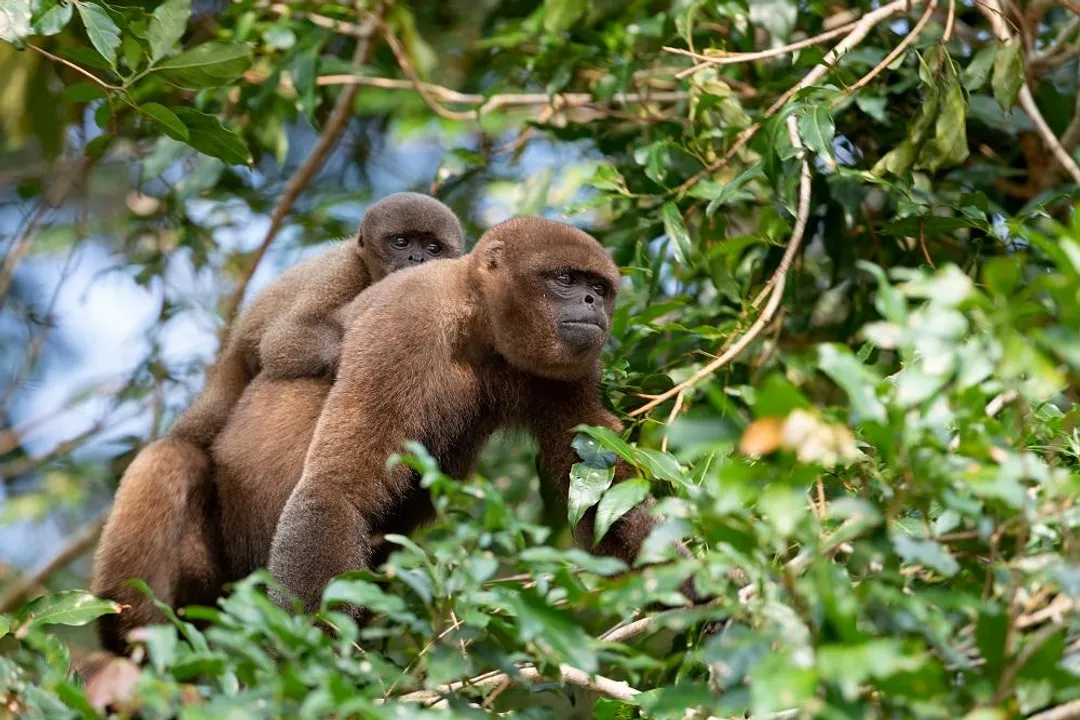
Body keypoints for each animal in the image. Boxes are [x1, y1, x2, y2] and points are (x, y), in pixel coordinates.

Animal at [90, 192, 464, 654]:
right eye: (401, 242)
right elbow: (285, 343)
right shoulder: (342, 272)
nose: (415, 259)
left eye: (432, 247)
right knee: (173, 456)